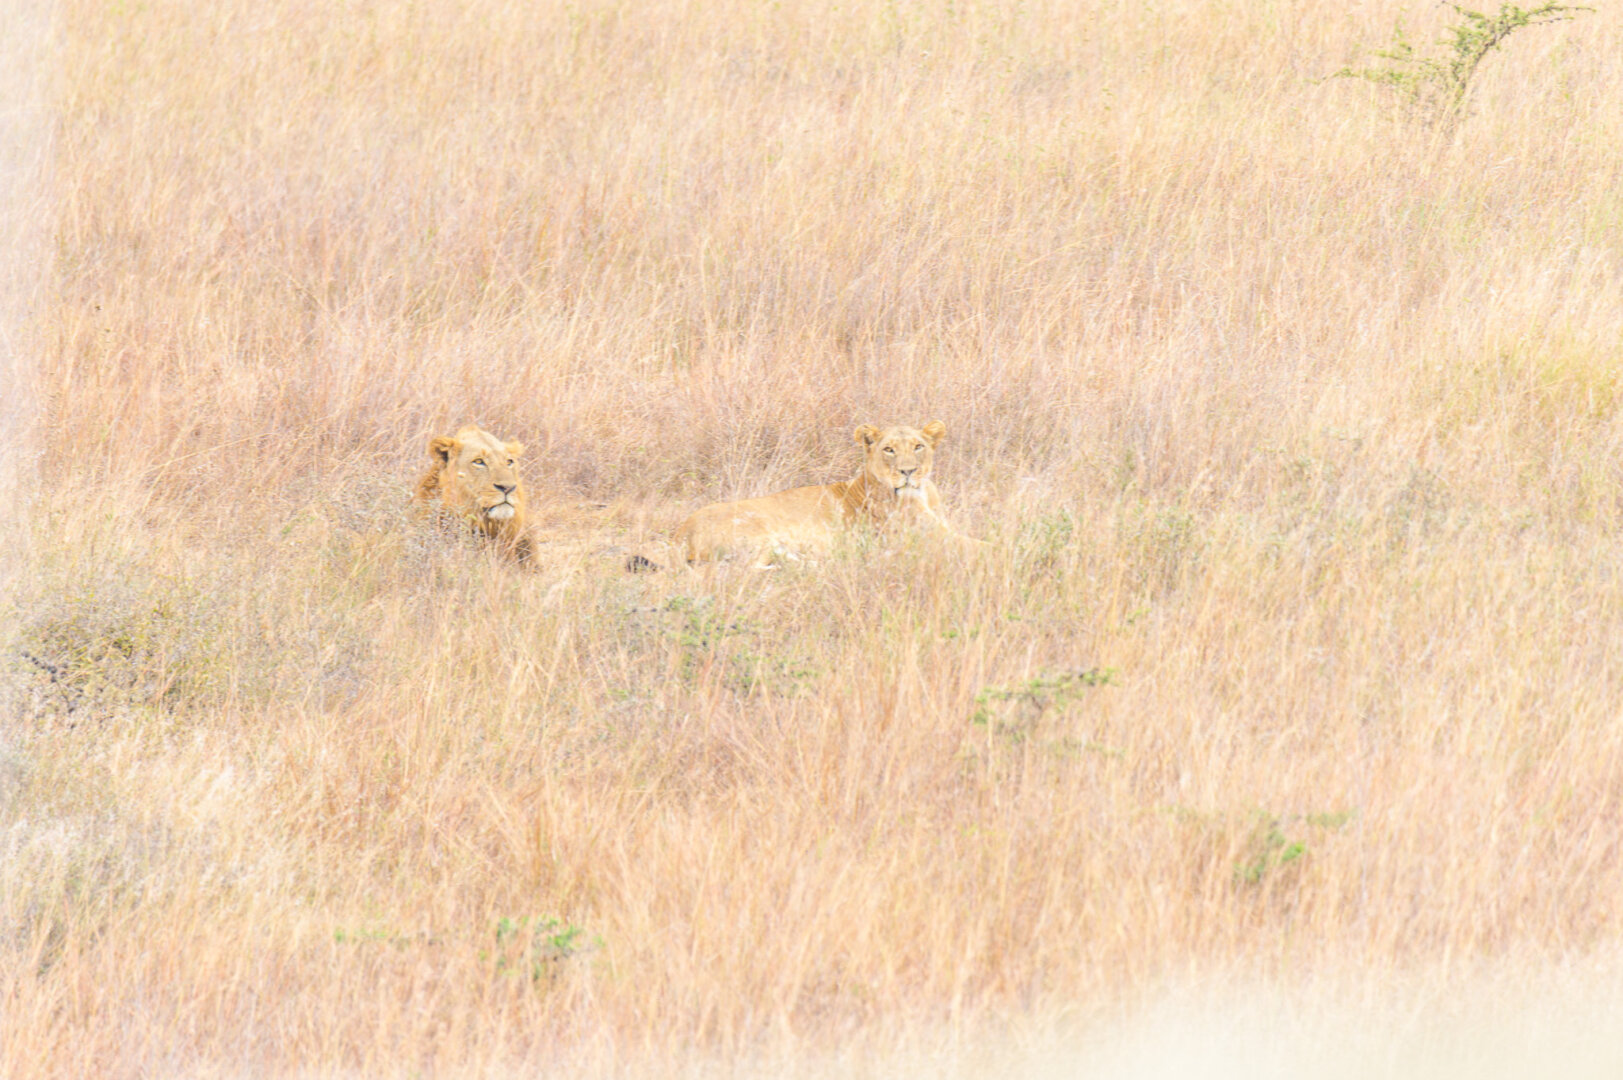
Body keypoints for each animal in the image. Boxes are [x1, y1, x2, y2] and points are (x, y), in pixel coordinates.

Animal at [669, 420, 978, 566]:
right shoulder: (932, 537)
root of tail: (680, 534)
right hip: (756, 532)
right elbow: (980, 545)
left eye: (918, 446)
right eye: (889, 449)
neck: (923, 492)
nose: (908, 471)